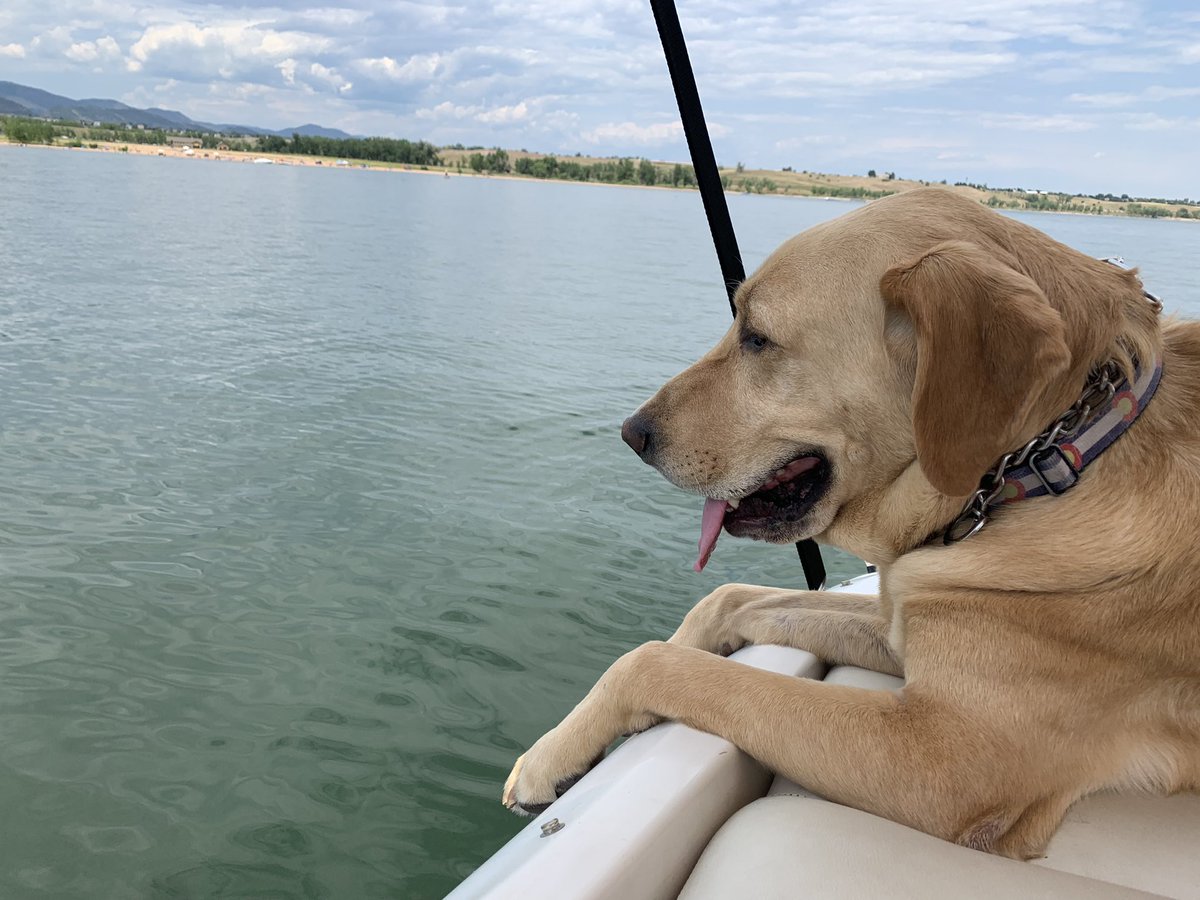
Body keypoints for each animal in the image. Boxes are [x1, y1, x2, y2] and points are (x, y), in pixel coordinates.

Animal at [501, 188, 1195, 859]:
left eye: (757, 336)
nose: (631, 433)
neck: (1051, 457)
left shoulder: (945, 756)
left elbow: (658, 662)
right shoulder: (898, 620)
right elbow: (731, 601)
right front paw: (561, 747)